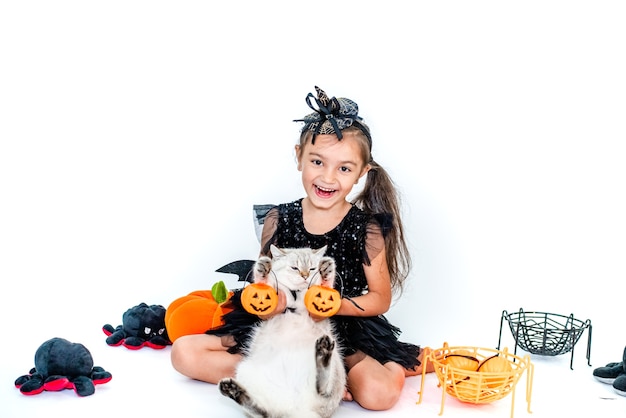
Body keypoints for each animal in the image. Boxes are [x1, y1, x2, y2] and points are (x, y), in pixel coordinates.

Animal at [219, 245, 346, 418]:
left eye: (312, 268)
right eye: (295, 268)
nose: (305, 276)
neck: (296, 294)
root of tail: (297, 409)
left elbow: (323, 286)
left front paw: (326, 272)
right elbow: (265, 284)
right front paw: (263, 270)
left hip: (336, 369)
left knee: (323, 390)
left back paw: (323, 352)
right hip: (245, 371)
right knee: (265, 412)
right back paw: (233, 390)